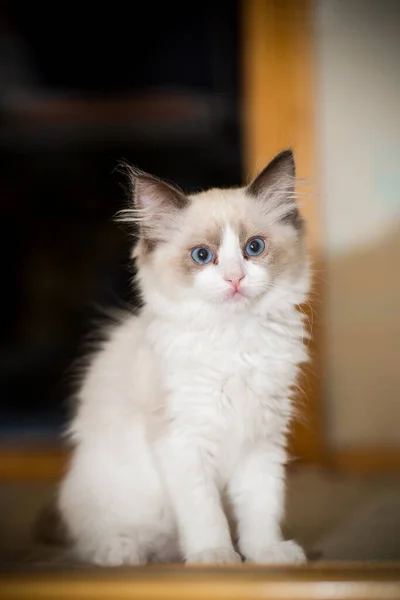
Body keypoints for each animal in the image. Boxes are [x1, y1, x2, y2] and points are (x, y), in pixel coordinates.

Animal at [57, 148, 310, 564]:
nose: (235, 278)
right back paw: (125, 552)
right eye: (202, 255)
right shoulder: (183, 442)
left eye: (253, 249)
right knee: (98, 538)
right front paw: (216, 556)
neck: (234, 341)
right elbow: (205, 512)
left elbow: (260, 507)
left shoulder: (261, 440)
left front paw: (266, 554)